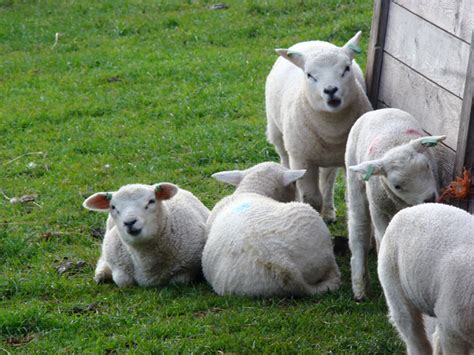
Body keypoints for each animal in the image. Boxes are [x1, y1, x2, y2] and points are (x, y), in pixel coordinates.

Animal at [264, 30, 372, 222]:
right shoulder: (302, 159)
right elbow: (312, 198)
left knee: (328, 179)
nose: (330, 90)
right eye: (310, 75)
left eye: (346, 68)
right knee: (285, 161)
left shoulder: (346, 158)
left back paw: (328, 212)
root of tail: (311, 41)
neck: (331, 127)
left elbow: (348, 196)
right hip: (278, 134)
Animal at [342, 107, 446, 302]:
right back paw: (360, 286)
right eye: (397, 186)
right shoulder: (379, 211)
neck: (393, 144)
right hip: (355, 180)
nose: (429, 198)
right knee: (359, 227)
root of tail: (380, 110)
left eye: (427, 167)